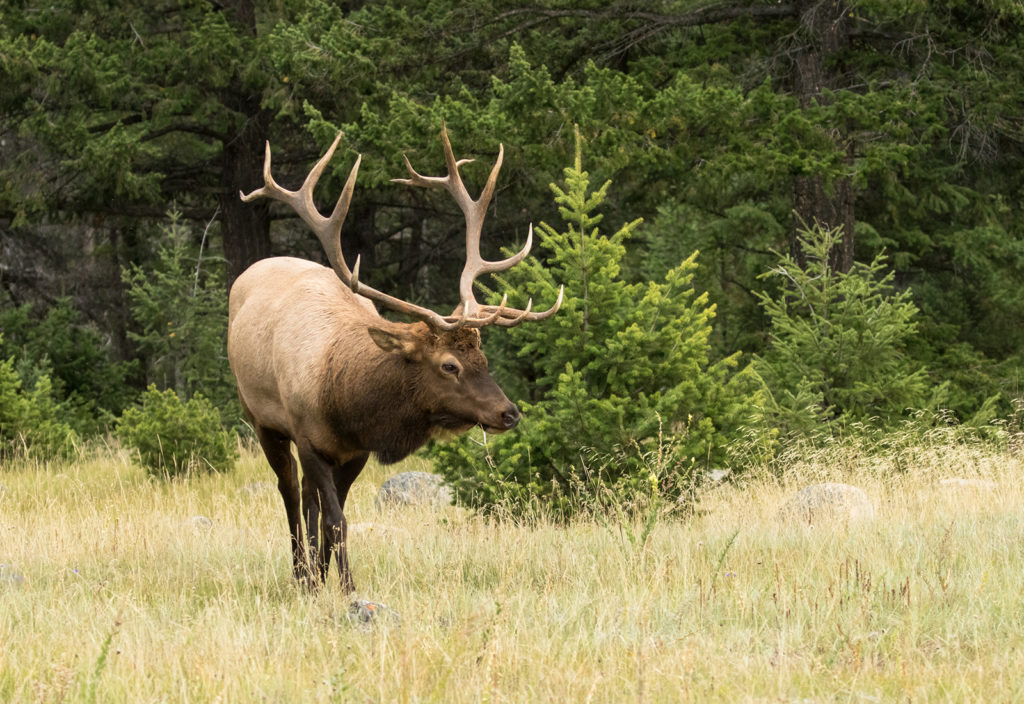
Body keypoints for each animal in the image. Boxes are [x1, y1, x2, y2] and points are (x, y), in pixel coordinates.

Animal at [226, 127, 561, 593]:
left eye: (482, 356)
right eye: (449, 365)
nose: (509, 413)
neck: (341, 400)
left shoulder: (355, 452)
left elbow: (332, 518)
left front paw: (327, 578)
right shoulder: (308, 437)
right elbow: (336, 520)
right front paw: (345, 587)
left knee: (307, 499)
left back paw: (310, 575)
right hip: (261, 418)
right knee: (289, 491)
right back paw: (299, 574)